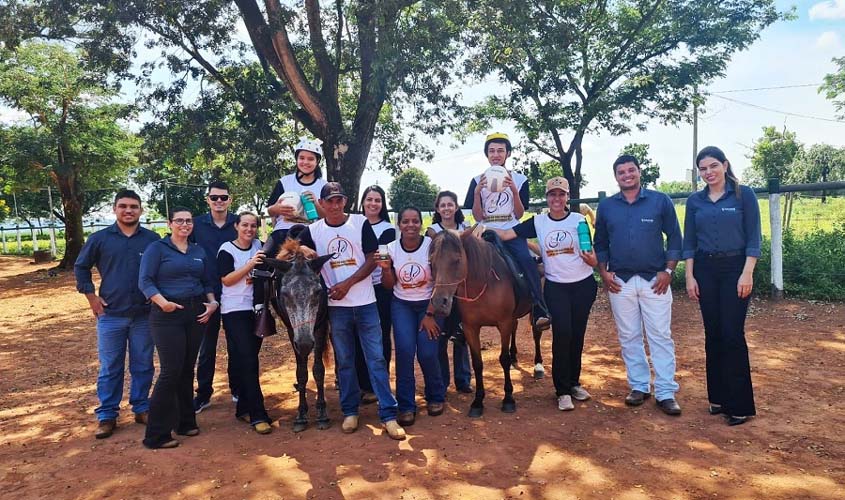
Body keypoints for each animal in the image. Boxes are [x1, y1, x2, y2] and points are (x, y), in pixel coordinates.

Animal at [428, 229, 528, 416]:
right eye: (431, 262)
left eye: (457, 260)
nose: (438, 303)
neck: (483, 284)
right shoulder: (470, 328)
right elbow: (477, 363)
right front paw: (477, 401)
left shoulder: (503, 323)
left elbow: (503, 359)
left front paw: (508, 398)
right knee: (516, 327)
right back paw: (514, 355)